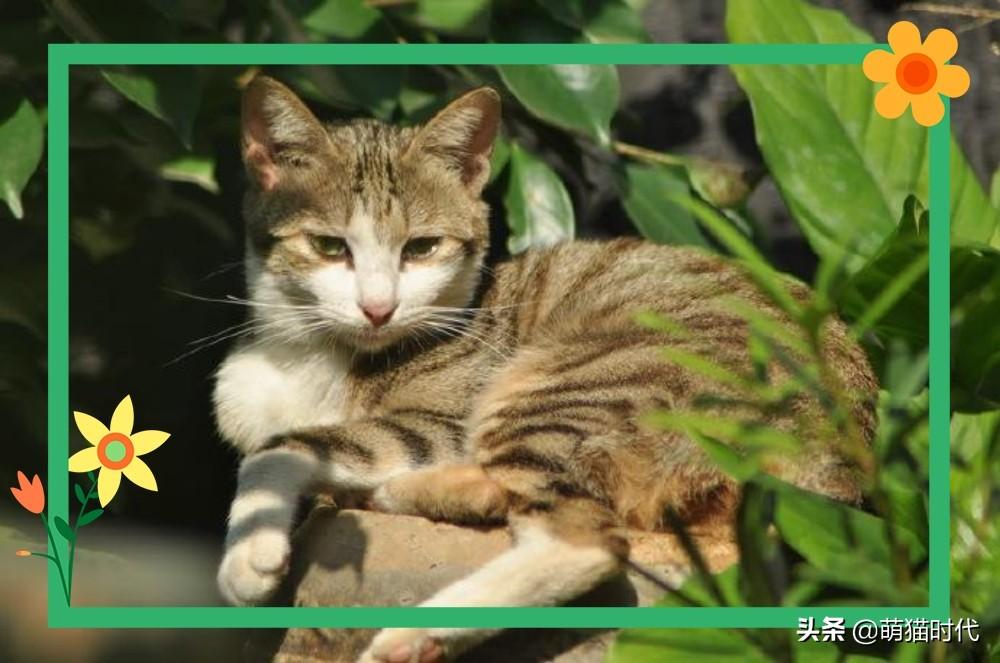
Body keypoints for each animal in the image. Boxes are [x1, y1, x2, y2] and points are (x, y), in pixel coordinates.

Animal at [213, 75, 876, 663]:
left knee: (585, 538)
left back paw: (416, 627)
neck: (313, 352)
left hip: (571, 383)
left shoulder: (438, 421)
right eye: (329, 247)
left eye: (422, 248)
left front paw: (249, 555)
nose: (379, 308)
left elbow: (278, 448)